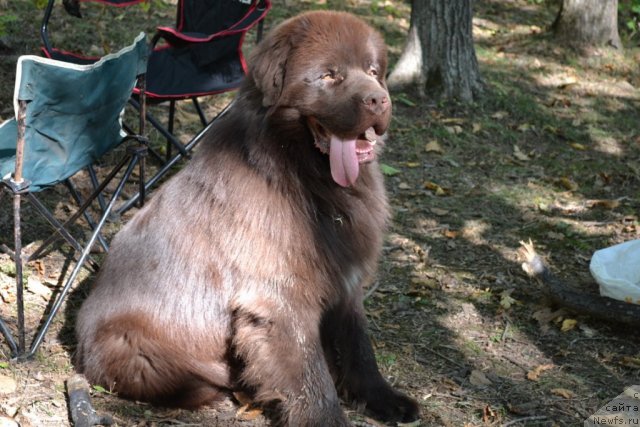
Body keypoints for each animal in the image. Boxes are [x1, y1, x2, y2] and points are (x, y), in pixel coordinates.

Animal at [75, 10, 420, 427]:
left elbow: (358, 347)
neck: (305, 179)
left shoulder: (345, 280)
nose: (379, 99)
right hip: (135, 348)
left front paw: (386, 400)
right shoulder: (280, 298)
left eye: (373, 71)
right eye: (329, 75)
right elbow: (312, 377)